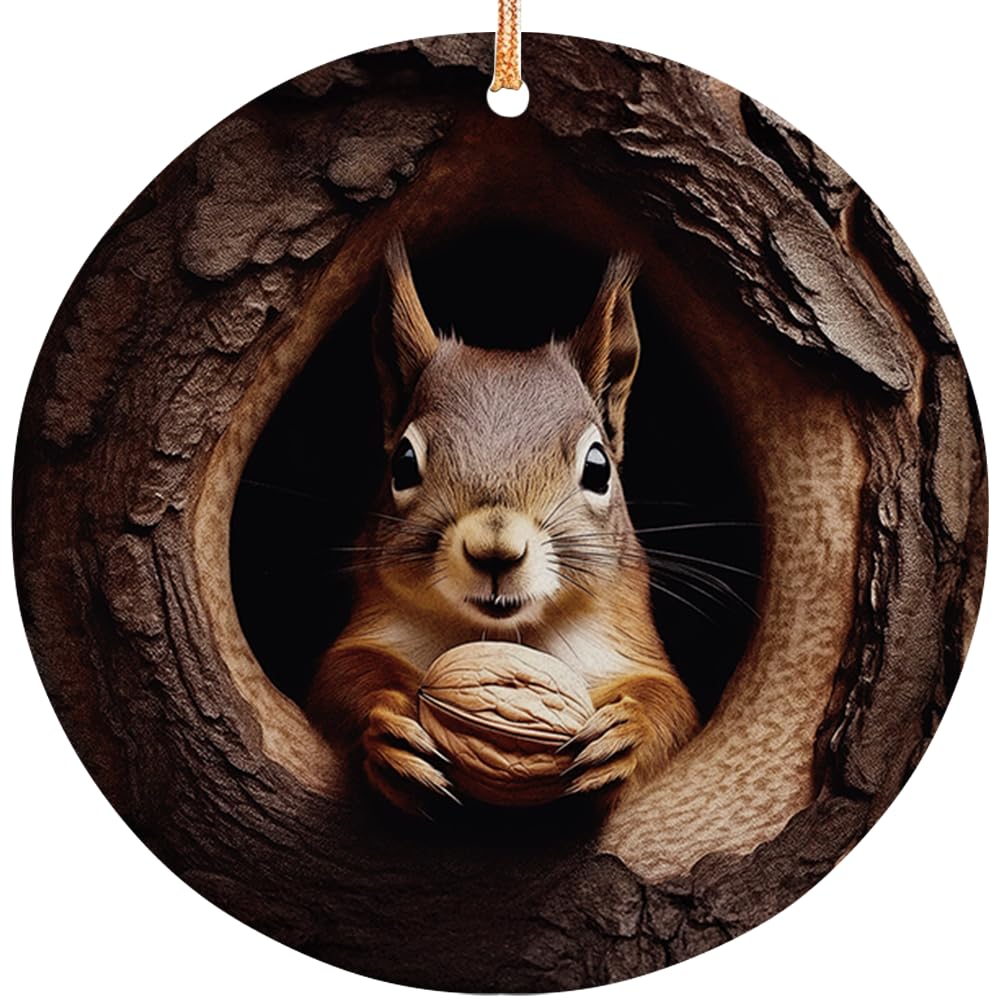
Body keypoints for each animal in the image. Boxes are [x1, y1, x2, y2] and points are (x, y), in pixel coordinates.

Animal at [306, 236, 699, 814]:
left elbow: (671, 702)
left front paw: (626, 734)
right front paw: (388, 727)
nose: (496, 550)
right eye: (403, 463)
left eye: (598, 467)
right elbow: (343, 676)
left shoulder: (629, 640)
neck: (502, 635)